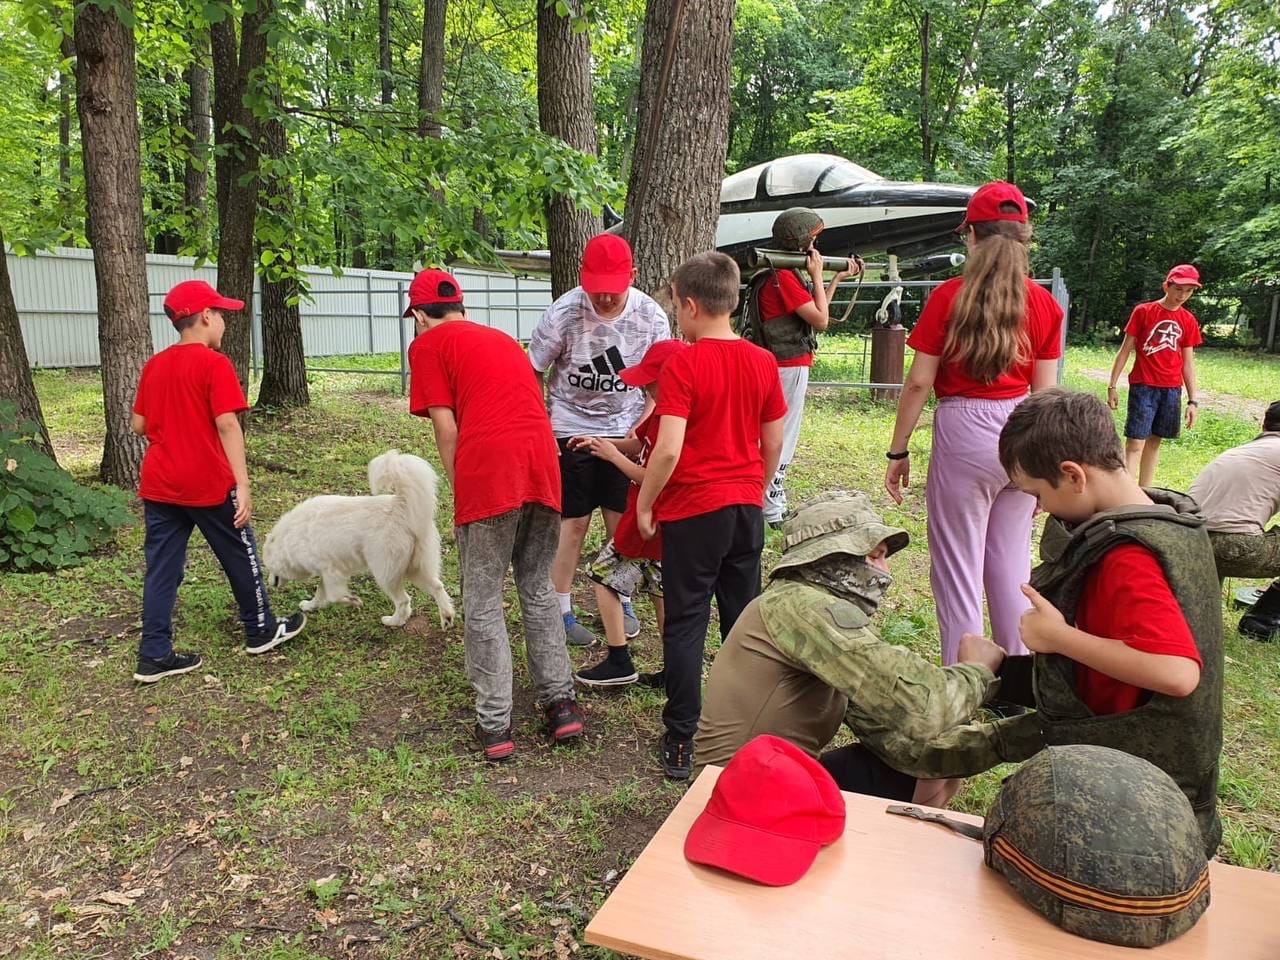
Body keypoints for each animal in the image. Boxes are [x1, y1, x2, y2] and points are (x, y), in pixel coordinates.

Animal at [259, 453, 455, 632]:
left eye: (268, 567)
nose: (270, 584)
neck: (289, 540)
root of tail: (400, 505)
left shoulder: (332, 570)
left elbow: (334, 596)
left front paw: (352, 601)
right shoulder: (327, 574)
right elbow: (320, 594)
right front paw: (310, 605)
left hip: (385, 574)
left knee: (403, 600)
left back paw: (394, 621)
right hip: (416, 568)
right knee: (437, 587)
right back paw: (446, 617)